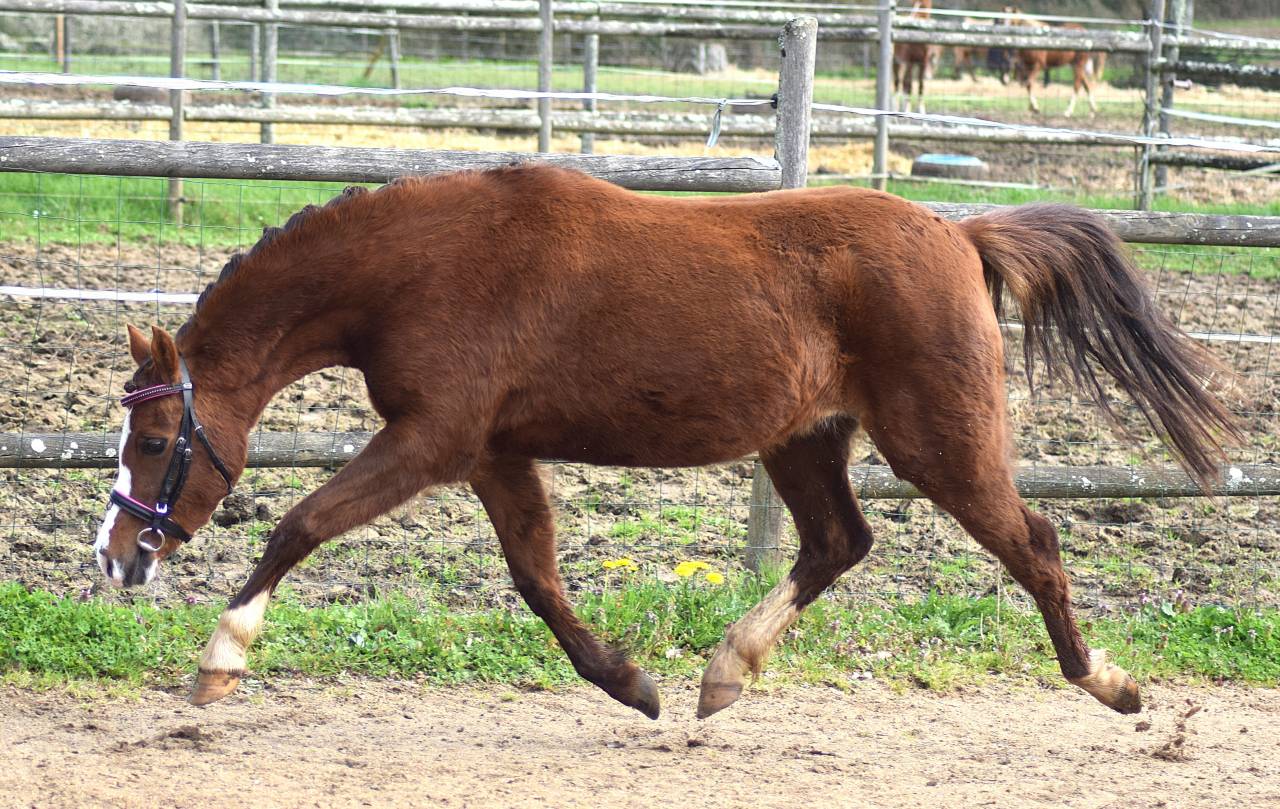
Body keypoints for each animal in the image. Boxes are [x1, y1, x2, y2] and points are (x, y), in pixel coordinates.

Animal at [94, 164, 1238, 721]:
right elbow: (537, 577)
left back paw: (1112, 685)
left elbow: (299, 523)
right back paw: (723, 673)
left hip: (940, 442)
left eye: (153, 438)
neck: (423, 265)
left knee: (1032, 542)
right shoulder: (491, 452)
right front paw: (630, 681)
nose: (115, 559)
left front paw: (218, 661)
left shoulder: (431, 438)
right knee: (838, 542)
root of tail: (960, 233)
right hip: (803, 440)